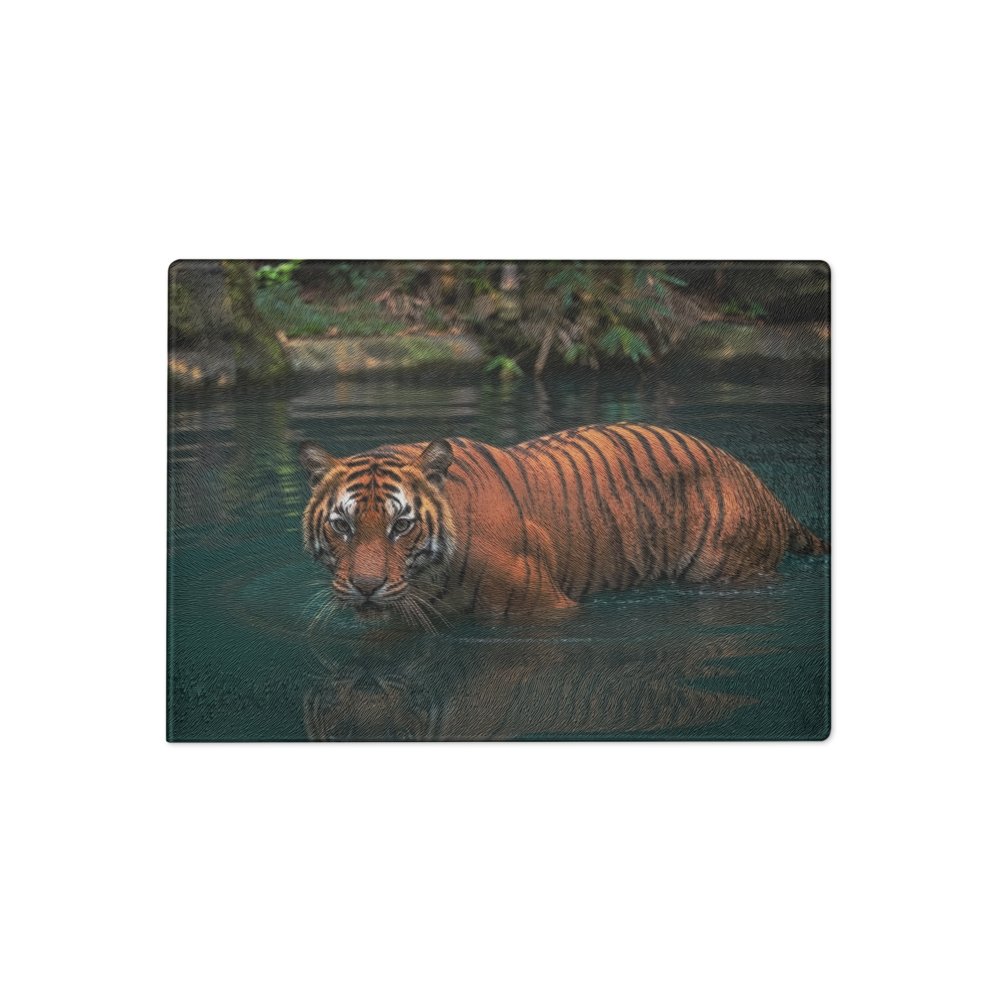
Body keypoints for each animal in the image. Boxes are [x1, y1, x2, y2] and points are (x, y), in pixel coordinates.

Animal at [299, 422, 830, 626]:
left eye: (401, 526)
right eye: (342, 527)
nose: (367, 587)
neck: (430, 579)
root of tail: (760, 485)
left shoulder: (546, 609)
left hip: (726, 572)